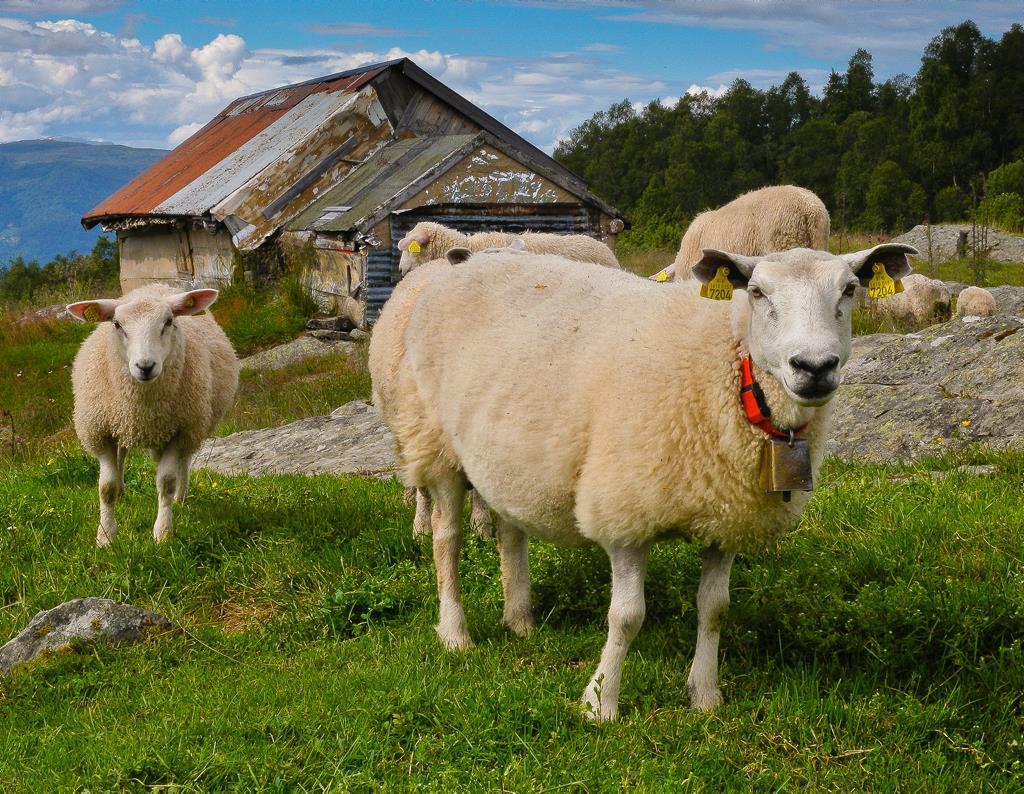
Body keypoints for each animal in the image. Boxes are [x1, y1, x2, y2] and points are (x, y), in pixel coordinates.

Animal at [66, 284, 239, 545]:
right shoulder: (100, 432)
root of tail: (156, 286)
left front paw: (163, 532)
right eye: (117, 324)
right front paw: (105, 536)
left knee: (184, 461)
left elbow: (166, 482)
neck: (143, 408)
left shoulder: (180, 431)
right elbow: (106, 488)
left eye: (169, 321)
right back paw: (123, 492)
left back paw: (180, 497)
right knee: (122, 455)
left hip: (192, 426)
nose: (145, 366)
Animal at [378, 241, 921, 721]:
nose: (814, 367)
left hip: (505, 454)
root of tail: (463, 266)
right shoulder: (626, 509)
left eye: (850, 289)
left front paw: (705, 695)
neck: (734, 374)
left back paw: (520, 620)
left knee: (511, 532)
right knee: (446, 540)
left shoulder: (727, 513)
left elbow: (714, 608)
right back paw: (455, 633)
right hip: (434, 441)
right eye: (758, 292)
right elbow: (626, 617)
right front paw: (600, 703)